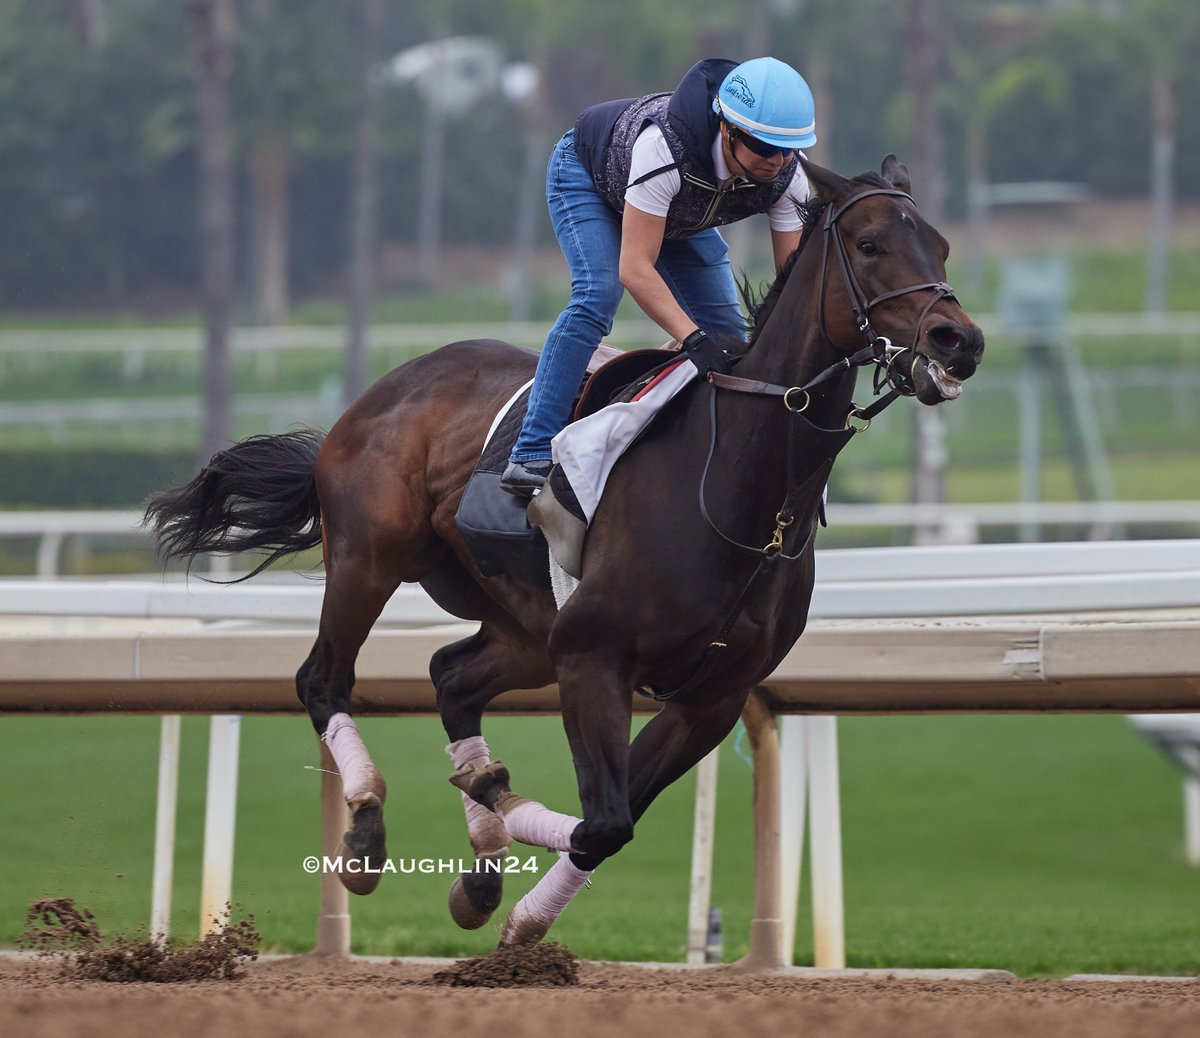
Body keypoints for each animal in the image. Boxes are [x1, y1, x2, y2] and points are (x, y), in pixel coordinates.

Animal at [145, 151, 984, 945]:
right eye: (871, 244)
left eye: (941, 244)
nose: (960, 340)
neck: (743, 487)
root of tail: (382, 391)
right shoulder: (593, 656)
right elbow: (603, 820)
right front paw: (499, 819)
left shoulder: (711, 696)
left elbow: (611, 822)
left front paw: (517, 908)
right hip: (370, 560)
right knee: (323, 680)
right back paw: (368, 831)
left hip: (525, 627)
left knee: (451, 677)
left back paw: (481, 863)